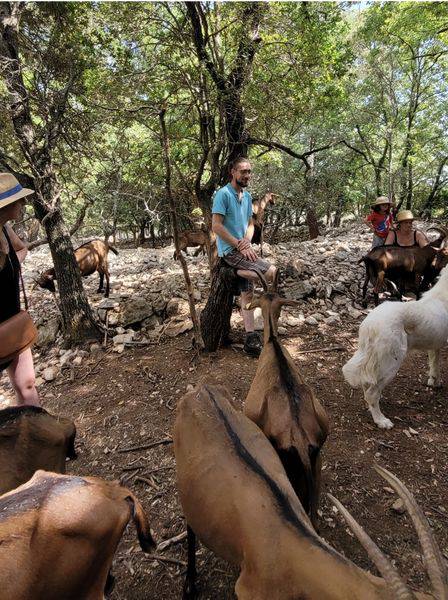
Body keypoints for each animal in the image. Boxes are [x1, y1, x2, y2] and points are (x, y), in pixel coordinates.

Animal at [344, 264, 448, 428]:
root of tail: (370, 324)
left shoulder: (435, 344)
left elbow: (434, 365)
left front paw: (434, 382)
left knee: (368, 385)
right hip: (391, 363)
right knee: (371, 393)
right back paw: (381, 420)